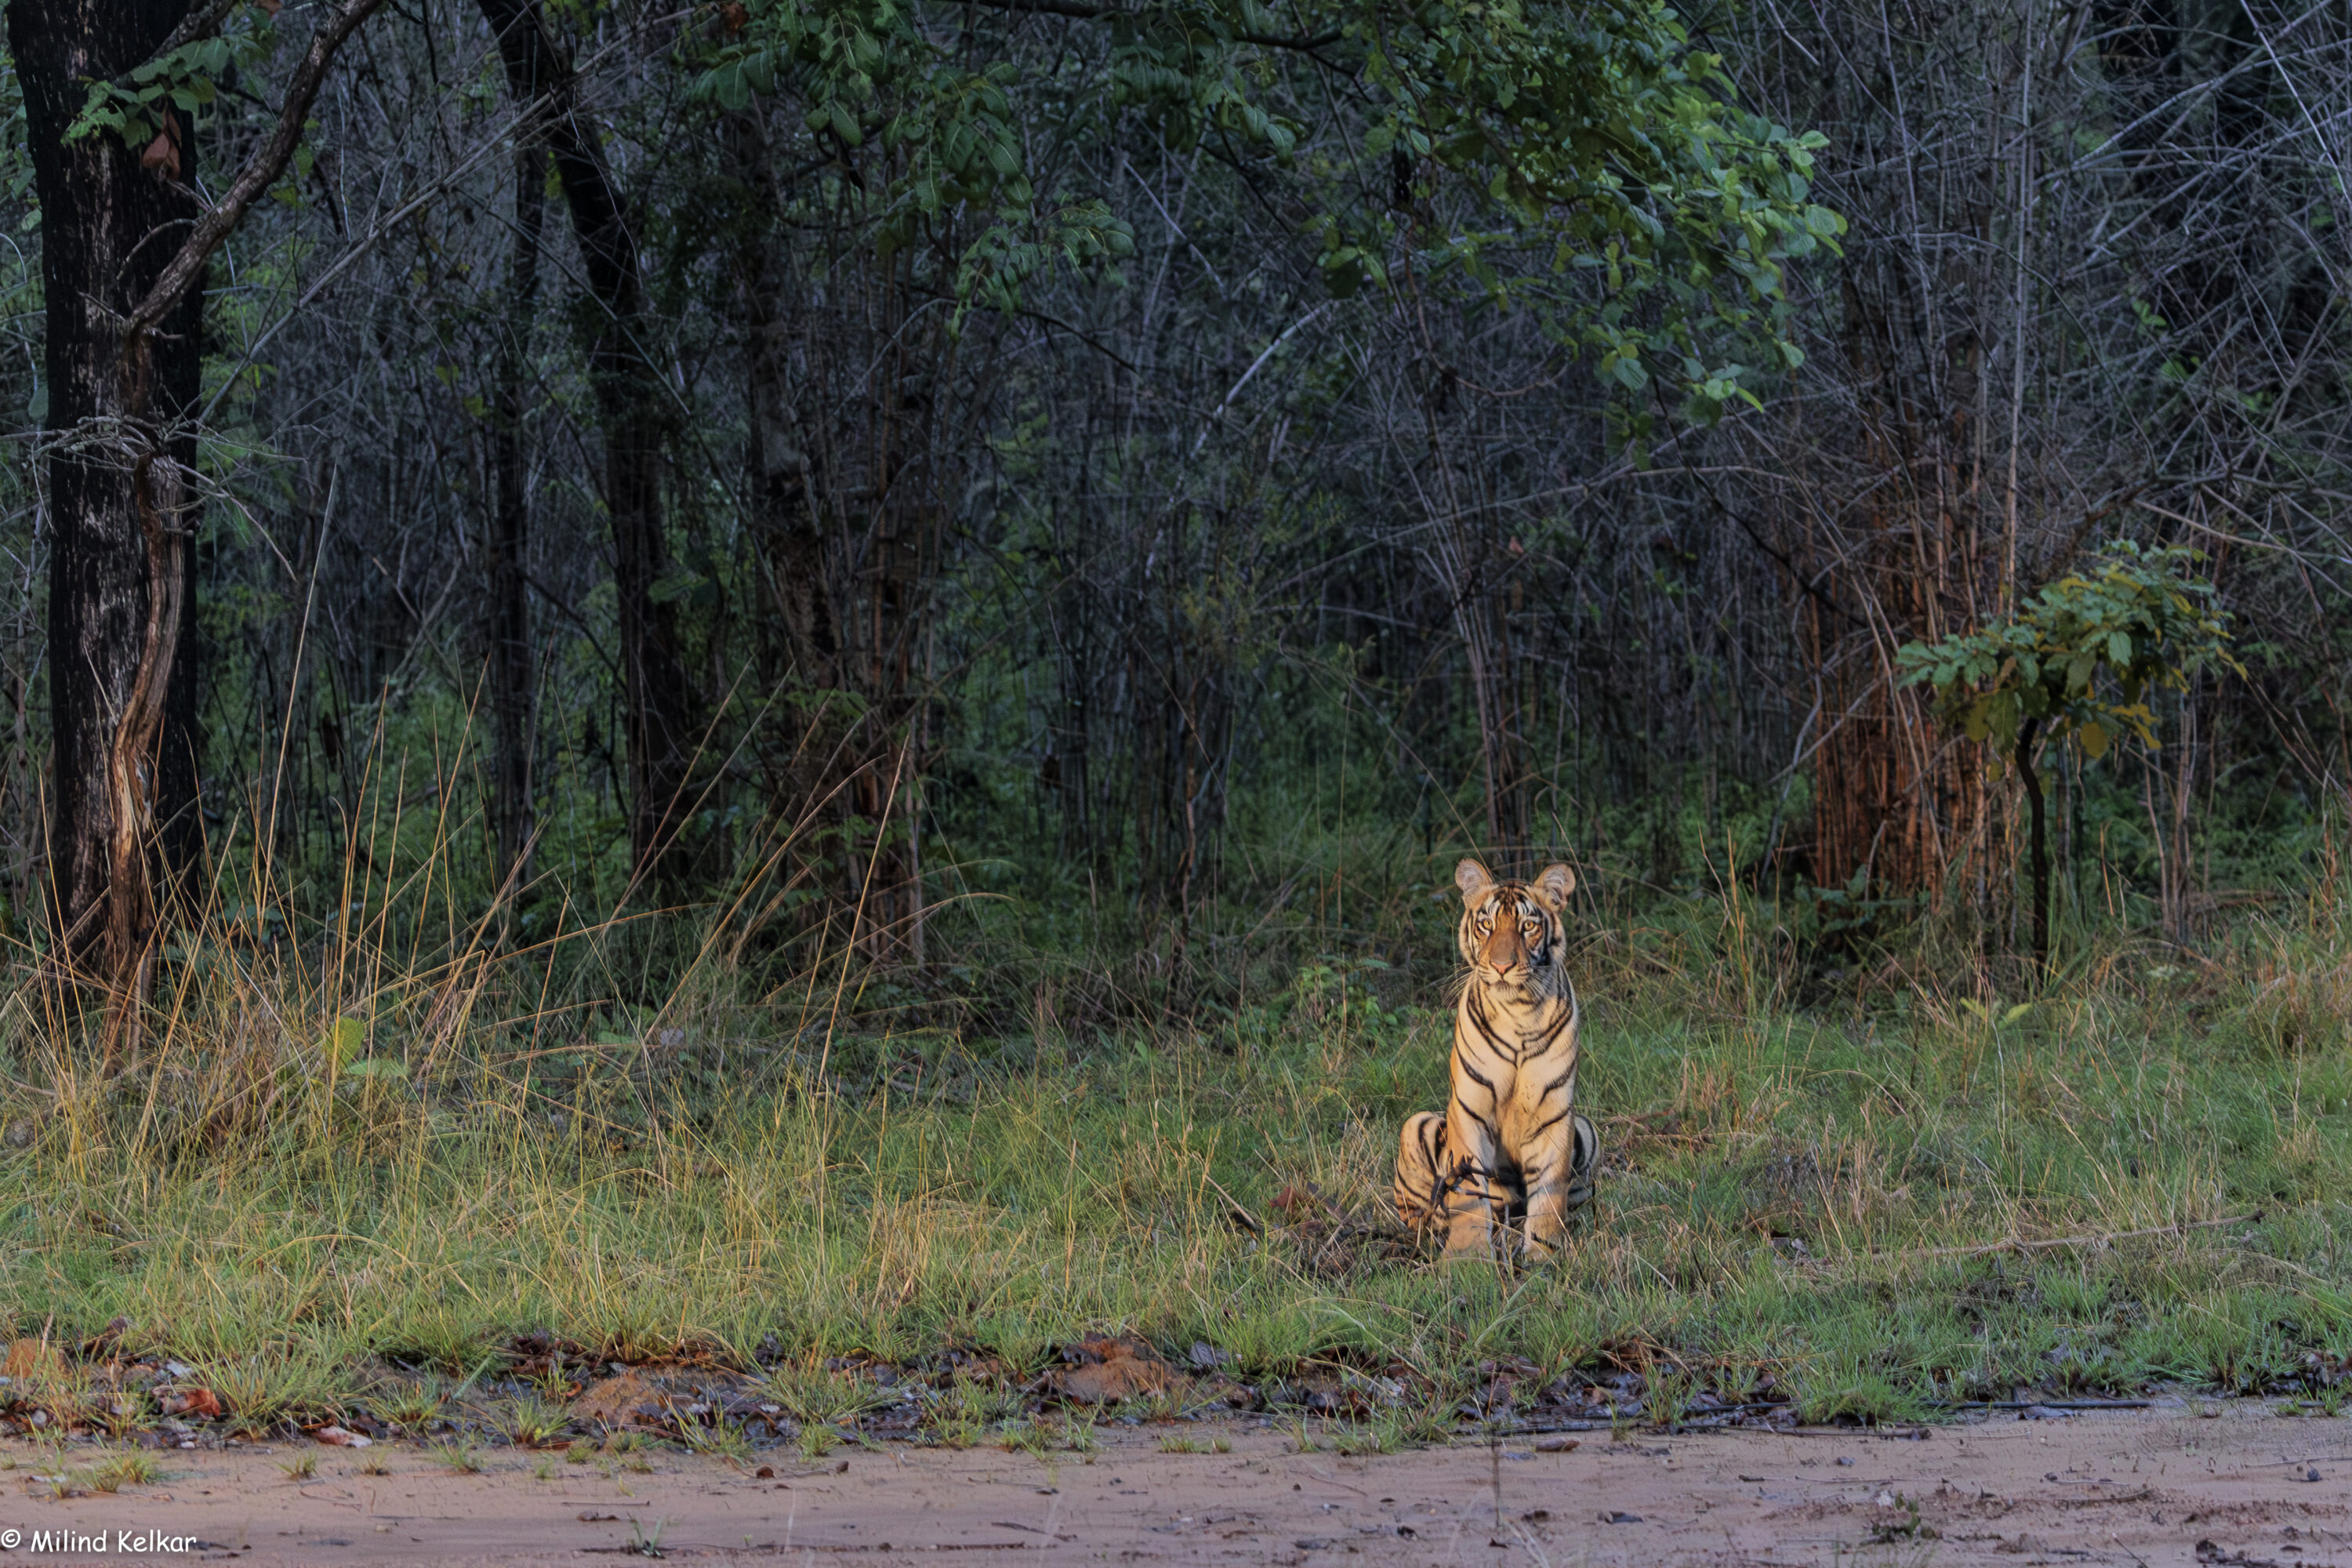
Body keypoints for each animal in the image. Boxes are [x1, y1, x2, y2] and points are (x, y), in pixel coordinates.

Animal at [1394, 858, 1598, 1261]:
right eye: (1486, 924)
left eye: (1528, 926)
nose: (1503, 966)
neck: (1518, 1010)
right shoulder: (1469, 1107)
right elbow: (1470, 1194)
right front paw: (1466, 1257)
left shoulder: (1555, 1111)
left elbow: (1551, 1188)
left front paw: (1544, 1252)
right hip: (1416, 1125)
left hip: (1586, 1129)